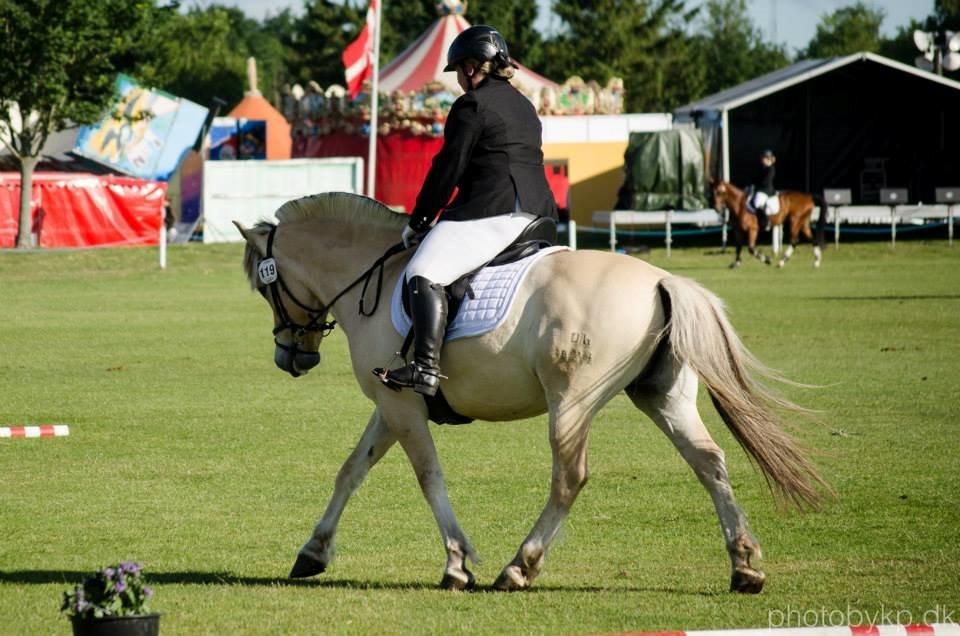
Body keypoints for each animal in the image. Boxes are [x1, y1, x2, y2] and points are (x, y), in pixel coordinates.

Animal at [236, 191, 828, 592]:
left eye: (267, 287)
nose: (291, 357)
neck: (372, 278)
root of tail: (662, 279)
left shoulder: (403, 404)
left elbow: (428, 477)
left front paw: (457, 563)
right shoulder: (391, 405)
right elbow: (351, 470)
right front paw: (312, 553)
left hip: (571, 403)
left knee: (570, 477)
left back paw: (519, 567)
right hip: (662, 397)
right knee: (709, 462)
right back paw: (744, 565)